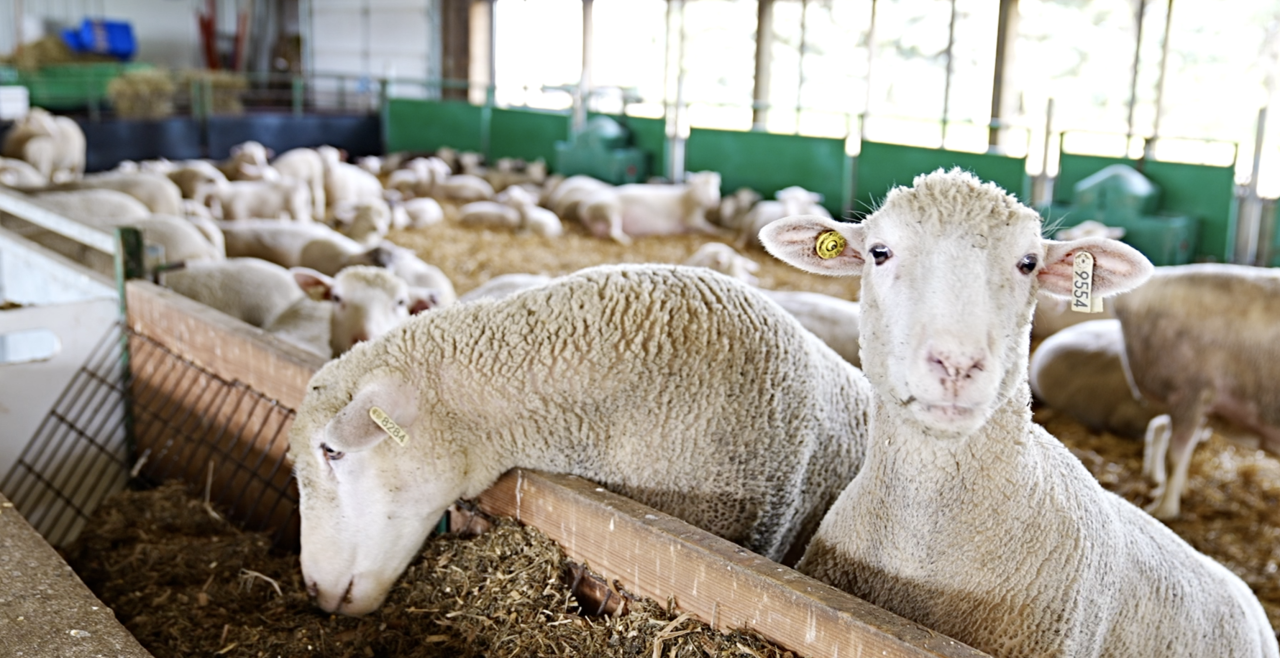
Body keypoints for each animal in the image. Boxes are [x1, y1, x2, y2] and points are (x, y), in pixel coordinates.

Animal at [1113, 263, 1280, 520]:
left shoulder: (1190, 393)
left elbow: (1175, 456)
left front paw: (1164, 509)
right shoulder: (1200, 402)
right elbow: (1183, 450)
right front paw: (1174, 493)